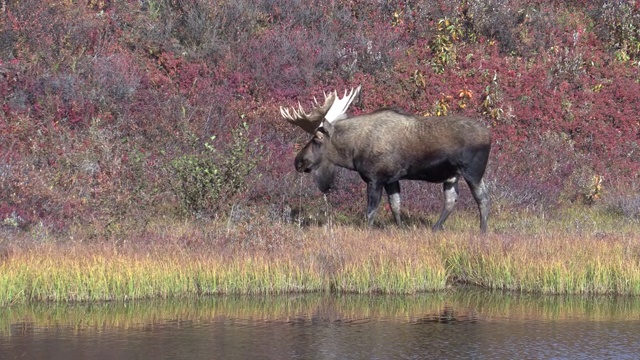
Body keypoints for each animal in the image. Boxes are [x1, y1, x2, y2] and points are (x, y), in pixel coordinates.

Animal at [278, 87, 490, 233]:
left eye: (316, 140)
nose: (298, 161)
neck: (353, 152)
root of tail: (491, 136)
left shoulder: (375, 178)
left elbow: (371, 211)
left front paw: (367, 231)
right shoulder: (391, 179)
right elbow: (395, 206)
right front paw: (401, 228)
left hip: (473, 171)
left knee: (483, 198)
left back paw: (483, 230)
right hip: (451, 176)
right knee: (451, 200)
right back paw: (435, 228)